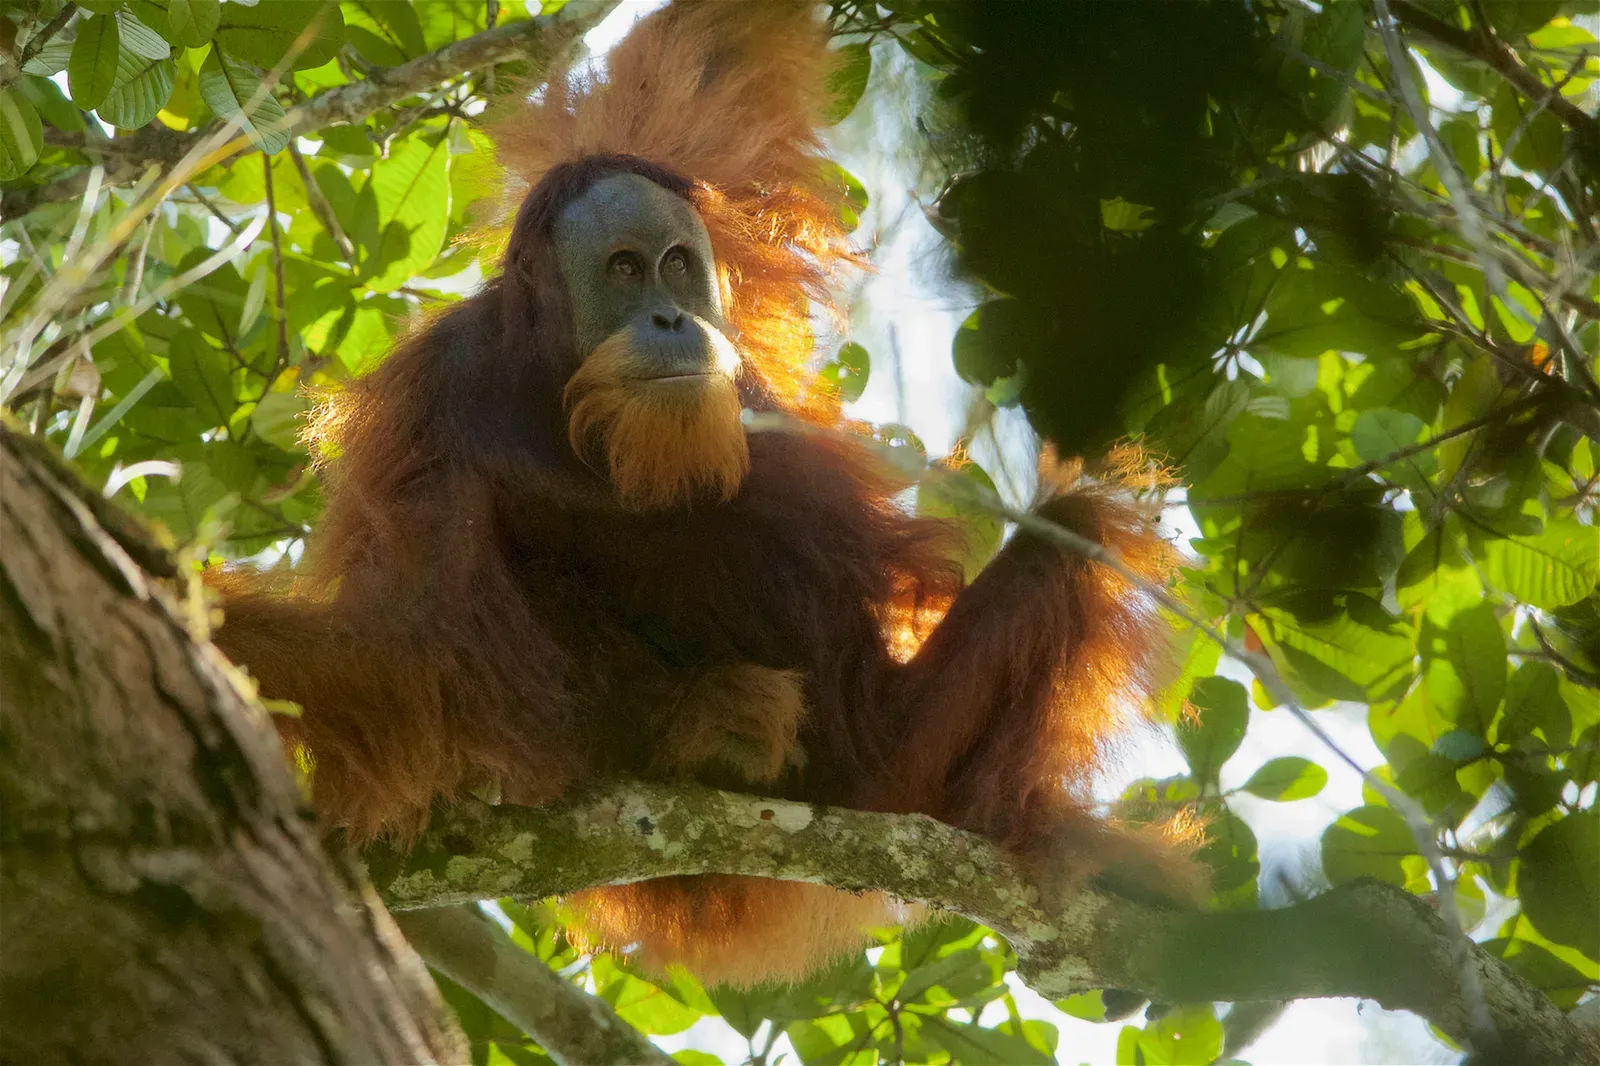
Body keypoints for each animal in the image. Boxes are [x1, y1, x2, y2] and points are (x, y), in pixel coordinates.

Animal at [209, 0, 1201, 987]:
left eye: (678, 263)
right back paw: (715, 735)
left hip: (897, 756)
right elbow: (409, 649)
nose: (673, 318)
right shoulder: (427, 412)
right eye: (621, 269)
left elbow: (704, 66)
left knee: (1071, 543)